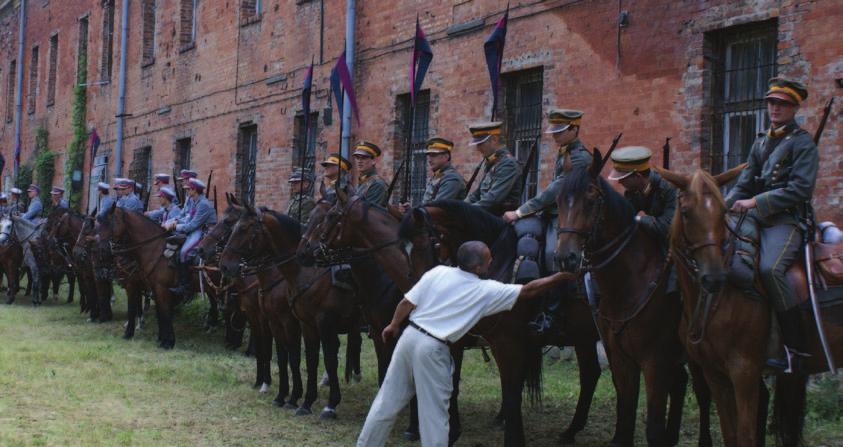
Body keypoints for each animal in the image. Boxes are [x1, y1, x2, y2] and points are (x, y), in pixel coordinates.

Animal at [556, 151, 708, 447]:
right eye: (557, 200)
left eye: (590, 199)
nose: (564, 257)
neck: (629, 280)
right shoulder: (622, 359)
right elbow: (625, 417)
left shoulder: (654, 362)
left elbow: (653, 429)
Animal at [660, 167, 843, 447]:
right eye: (687, 212)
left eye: (722, 213)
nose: (714, 278)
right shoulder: (715, 374)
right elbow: (730, 433)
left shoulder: (744, 372)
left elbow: (745, 435)